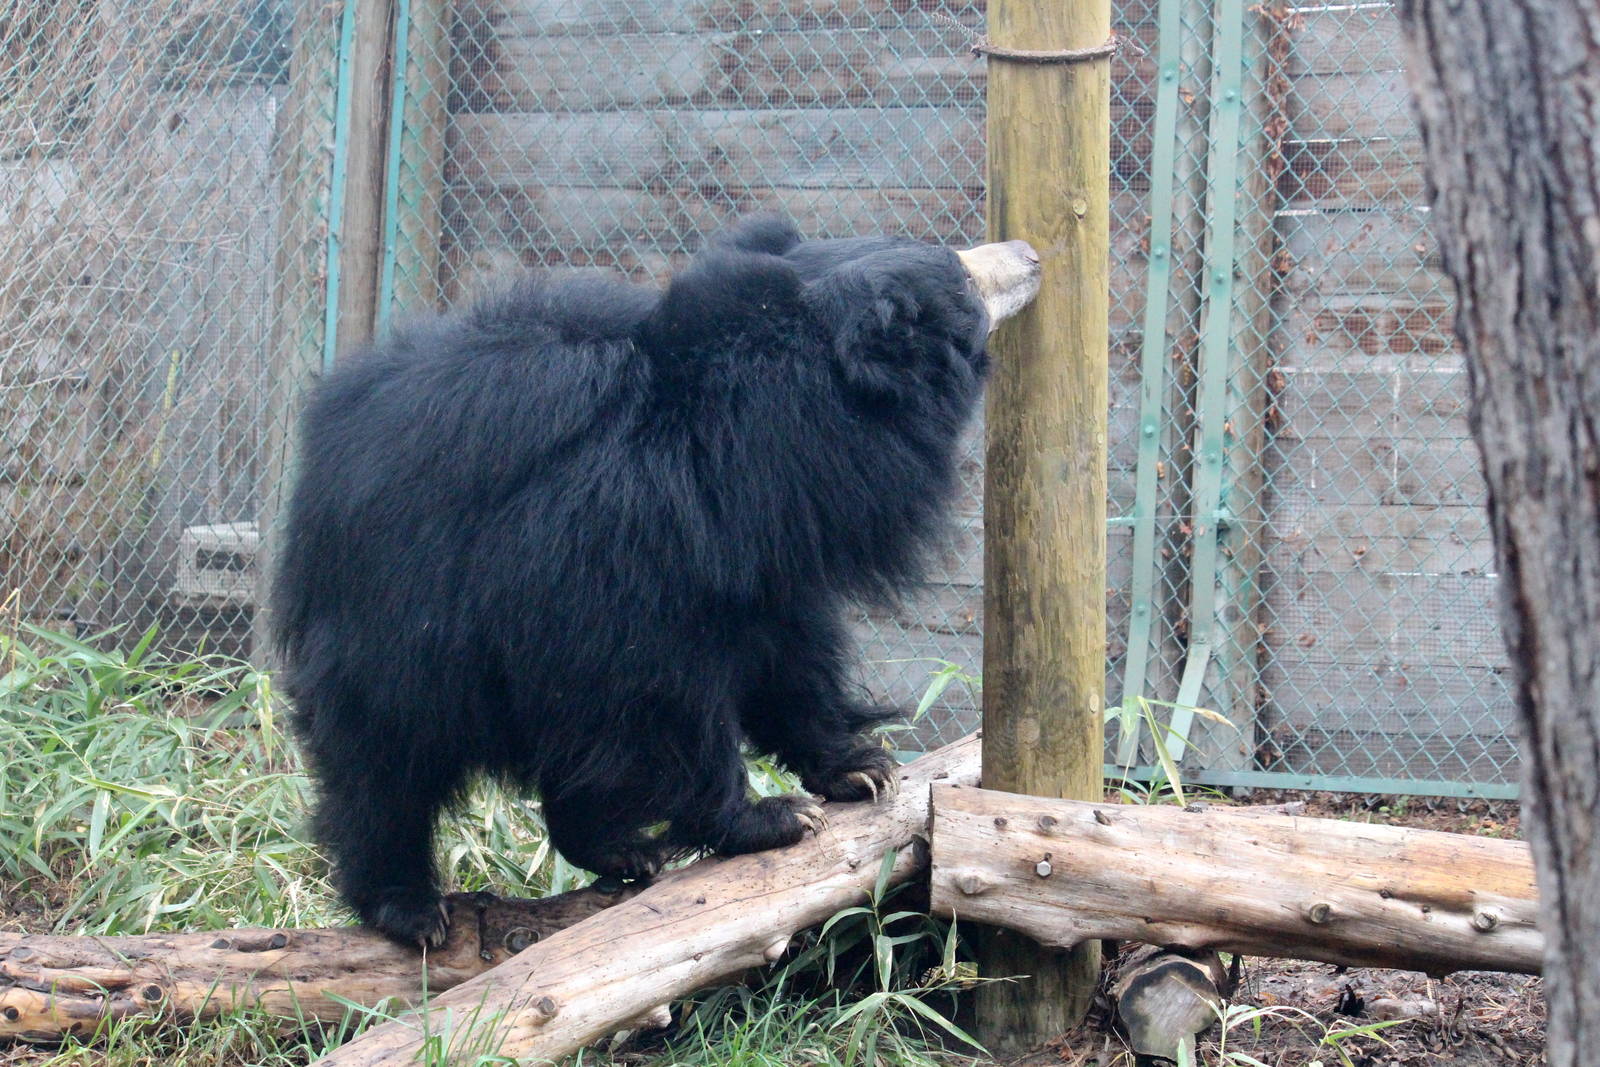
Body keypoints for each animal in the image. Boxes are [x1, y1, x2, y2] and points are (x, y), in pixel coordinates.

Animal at [271, 216, 1039, 946]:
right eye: (962, 277)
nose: (1031, 254)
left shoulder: (760, 558)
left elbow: (790, 658)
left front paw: (858, 767)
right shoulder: (620, 553)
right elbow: (663, 700)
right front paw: (770, 816)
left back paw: (621, 848)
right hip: (396, 616)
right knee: (386, 759)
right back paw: (408, 906)